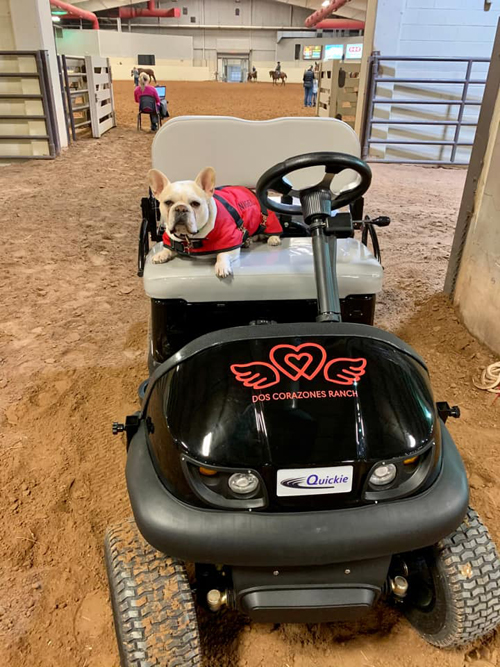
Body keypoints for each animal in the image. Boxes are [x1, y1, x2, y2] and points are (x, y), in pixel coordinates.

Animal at [147, 170, 282, 282]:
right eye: (168, 202)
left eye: (195, 204)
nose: (181, 208)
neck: (189, 237)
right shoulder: (173, 240)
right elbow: (168, 248)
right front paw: (161, 254)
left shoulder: (230, 241)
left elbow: (222, 254)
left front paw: (222, 266)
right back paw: (247, 241)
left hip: (268, 218)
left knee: (273, 231)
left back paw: (273, 238)